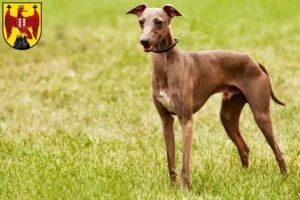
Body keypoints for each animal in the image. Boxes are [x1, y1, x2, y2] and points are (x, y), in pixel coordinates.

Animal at [125, 3, 288, 190]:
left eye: (159, 21)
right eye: (141, 21)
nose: (144, 41)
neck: (166, 66)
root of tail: (255, 62)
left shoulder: (186, 121)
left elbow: (185, 163)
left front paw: (184, 190)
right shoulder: (166, 121)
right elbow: (171, 161)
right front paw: (172, 189)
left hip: (261, 115)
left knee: (278, 151)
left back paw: (285, 180)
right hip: (227, 116)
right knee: (244, 148)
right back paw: (244, 178)